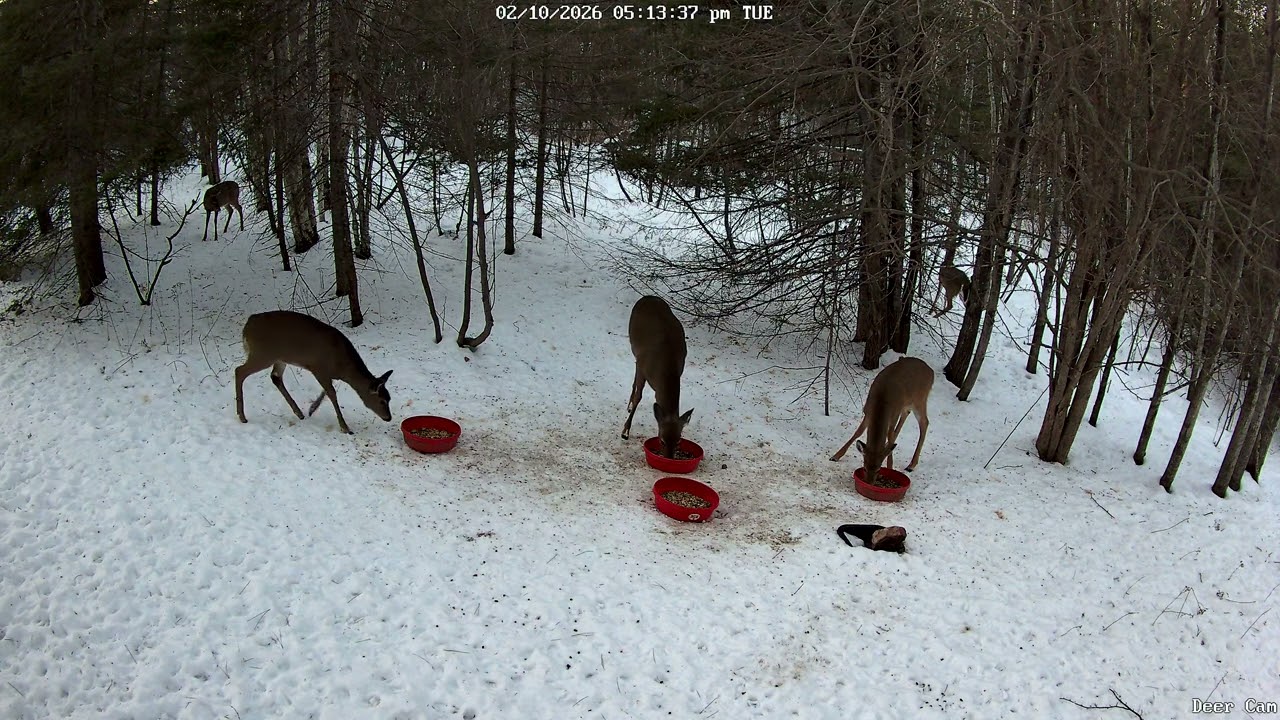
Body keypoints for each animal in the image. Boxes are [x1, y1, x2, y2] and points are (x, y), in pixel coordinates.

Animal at [234, 310, 393, 434]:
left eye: (389, 398)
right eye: (382, 401)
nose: (389, 417)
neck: (343, 367)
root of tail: (248, 325)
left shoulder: (326, 373)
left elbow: (327, 391)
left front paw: (311, 409)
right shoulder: (318, 368)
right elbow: (332, 393)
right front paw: (345, 428)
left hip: (279, 358)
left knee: (275, 377)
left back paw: (299, 413)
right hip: (263, 354)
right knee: (239, 371)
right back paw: (242, 416)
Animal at [620, 296, 694, 458]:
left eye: (679, 441)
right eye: (662, 440)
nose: (669, 459)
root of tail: (648, 296)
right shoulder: (642, 366)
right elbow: (639, 396)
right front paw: (625, 431)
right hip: (635, 349)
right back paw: (629, 405)